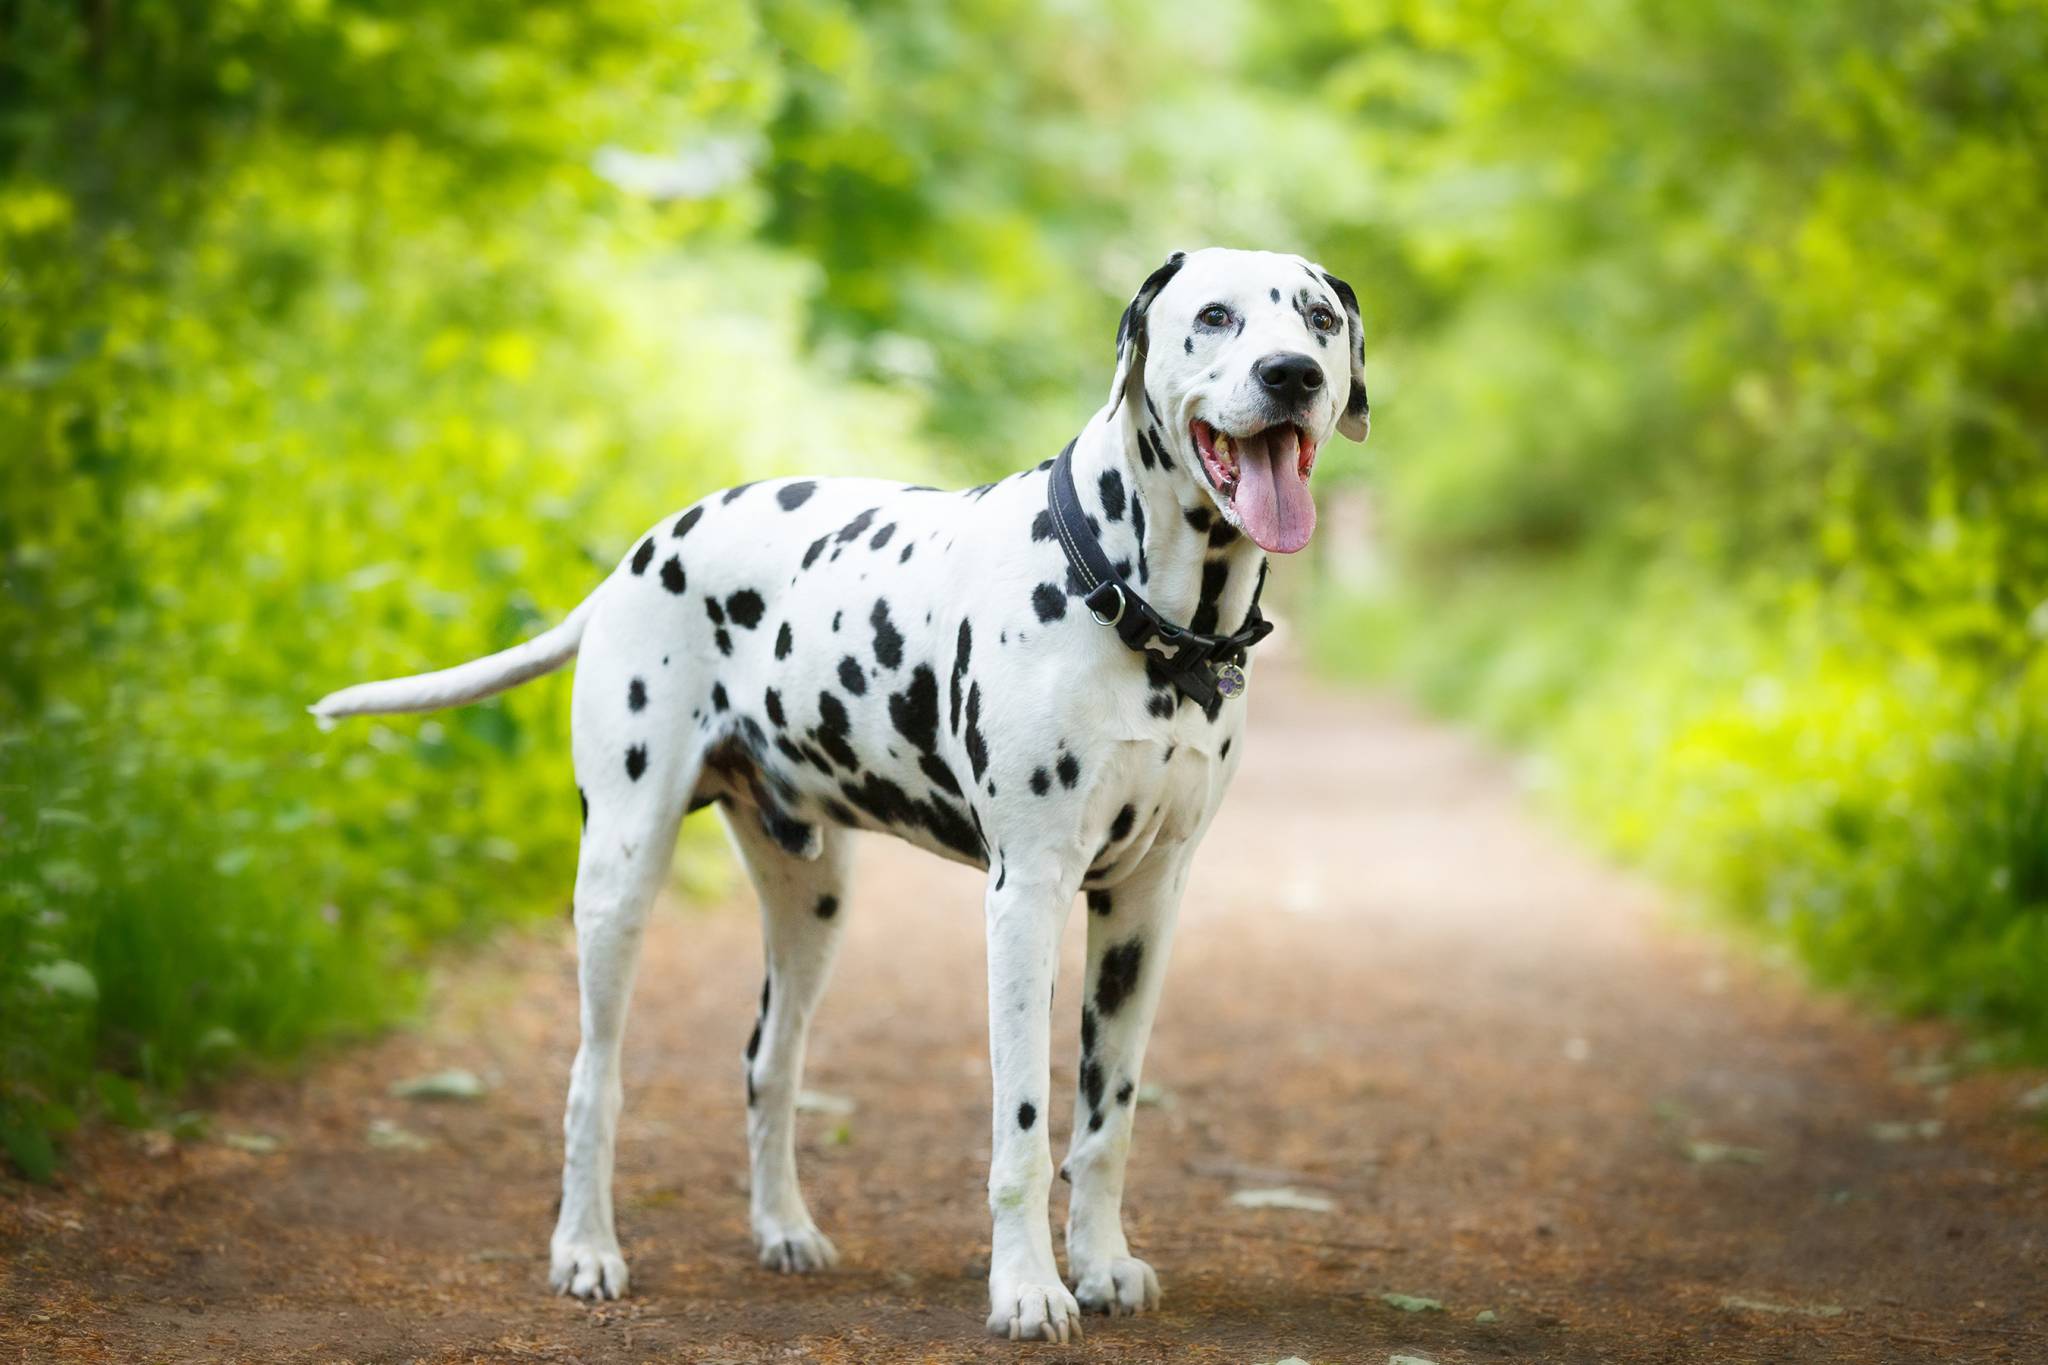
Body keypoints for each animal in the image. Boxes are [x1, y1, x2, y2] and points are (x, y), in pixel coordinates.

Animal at [311, 245, 1368, 1342]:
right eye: (1214, 316)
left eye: (1319, 318)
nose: (1291, 374)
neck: (1141, 608)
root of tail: (638, 555)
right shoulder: (1026, 897)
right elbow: (1025, 1126)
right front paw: (1027, 1286)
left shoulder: (1143, 906)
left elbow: (1106, 1115)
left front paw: (1103, 1262)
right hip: (619, 874)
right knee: (591, 1078)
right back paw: (586, 1247)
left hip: (811, 906)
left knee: (768, 1063)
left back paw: (783, 1227)